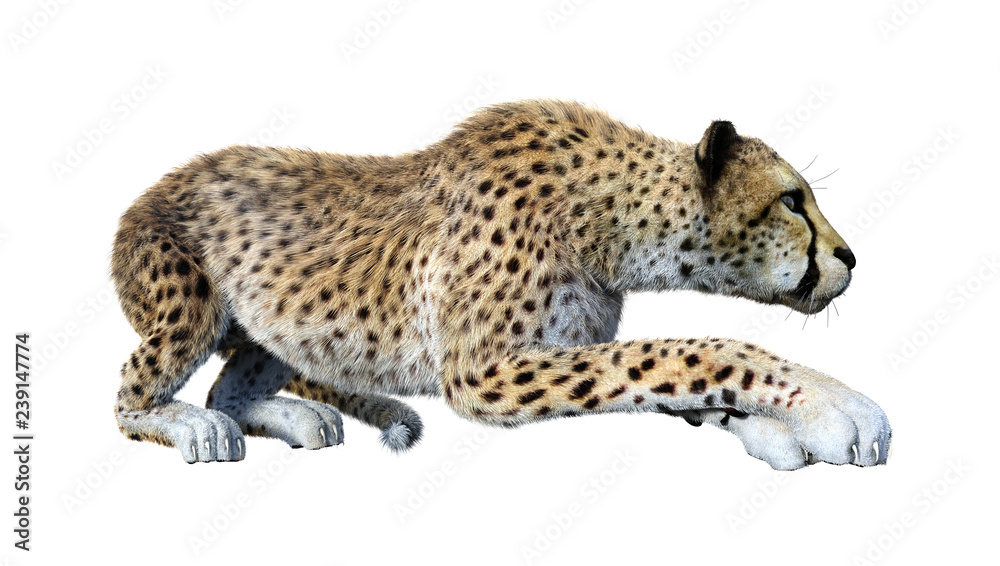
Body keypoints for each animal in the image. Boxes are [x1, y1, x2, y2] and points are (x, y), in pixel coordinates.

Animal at [110, 99, 891, 470]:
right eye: (792, 200)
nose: (852, 257)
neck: (614, 222)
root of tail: (151, 188)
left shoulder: (561, 351)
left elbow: (682, 381)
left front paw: (786, 431)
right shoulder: (485, 373)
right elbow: (696, 351)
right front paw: (836, 405)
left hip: (276, 328)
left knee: (231, 386)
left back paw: (294, 416)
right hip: (186, 310)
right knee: (130, 399)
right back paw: (192, 426)